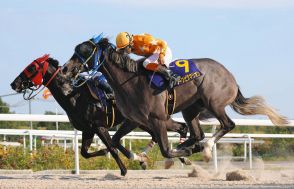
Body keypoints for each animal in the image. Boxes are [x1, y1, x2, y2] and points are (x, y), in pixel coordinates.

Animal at [9, 55, 191, 176]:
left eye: (31, 67)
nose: (14, 83)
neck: (74, 95)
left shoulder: (99, 126)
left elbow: (111, 147)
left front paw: (123, 170)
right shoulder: (87, 130)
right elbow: (85, 152)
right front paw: (111, 154)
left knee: (174, 130)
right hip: (139, 122)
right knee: (157, 135)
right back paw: (148, 157)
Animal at [62, 37, 288, 162]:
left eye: (82, 52)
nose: (65, 70)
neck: (129, 82)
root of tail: (230, 76)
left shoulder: (157, 119)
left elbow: (165, 150)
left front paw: (180, 153)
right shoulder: (133, 120)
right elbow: (116, 140)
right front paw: (137, 156)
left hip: (214, 102)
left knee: (227, 125)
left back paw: (206, 148)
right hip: (191, 110)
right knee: (197, 133)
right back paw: (193, 146)